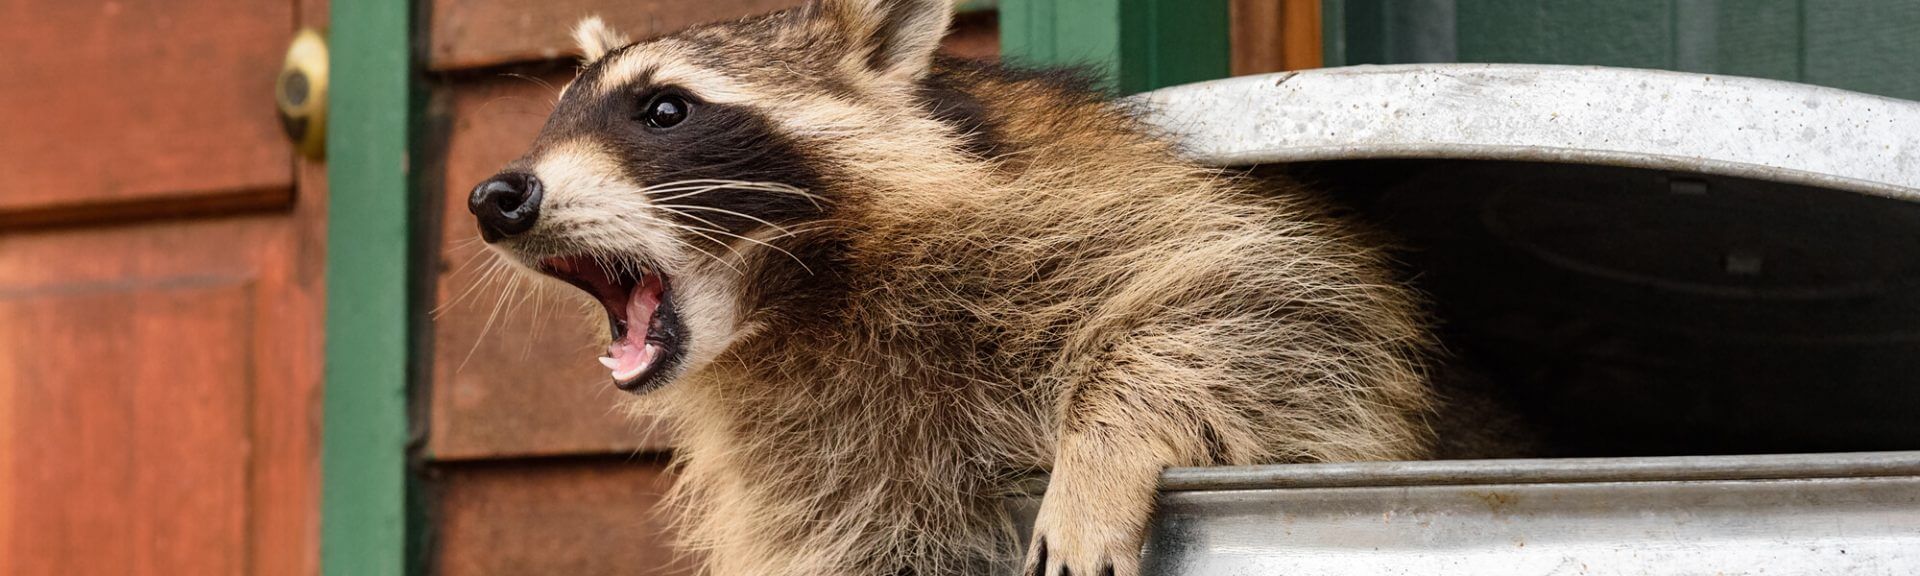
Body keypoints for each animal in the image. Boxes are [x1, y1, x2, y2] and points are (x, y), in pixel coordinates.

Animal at [476, 1, 1451, 576]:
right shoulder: (816, 467)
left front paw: (1105, 448)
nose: (496, 197)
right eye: (555, 117)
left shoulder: (1100, 204)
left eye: (666, 109)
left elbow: (1273, 304)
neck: (796, 304)